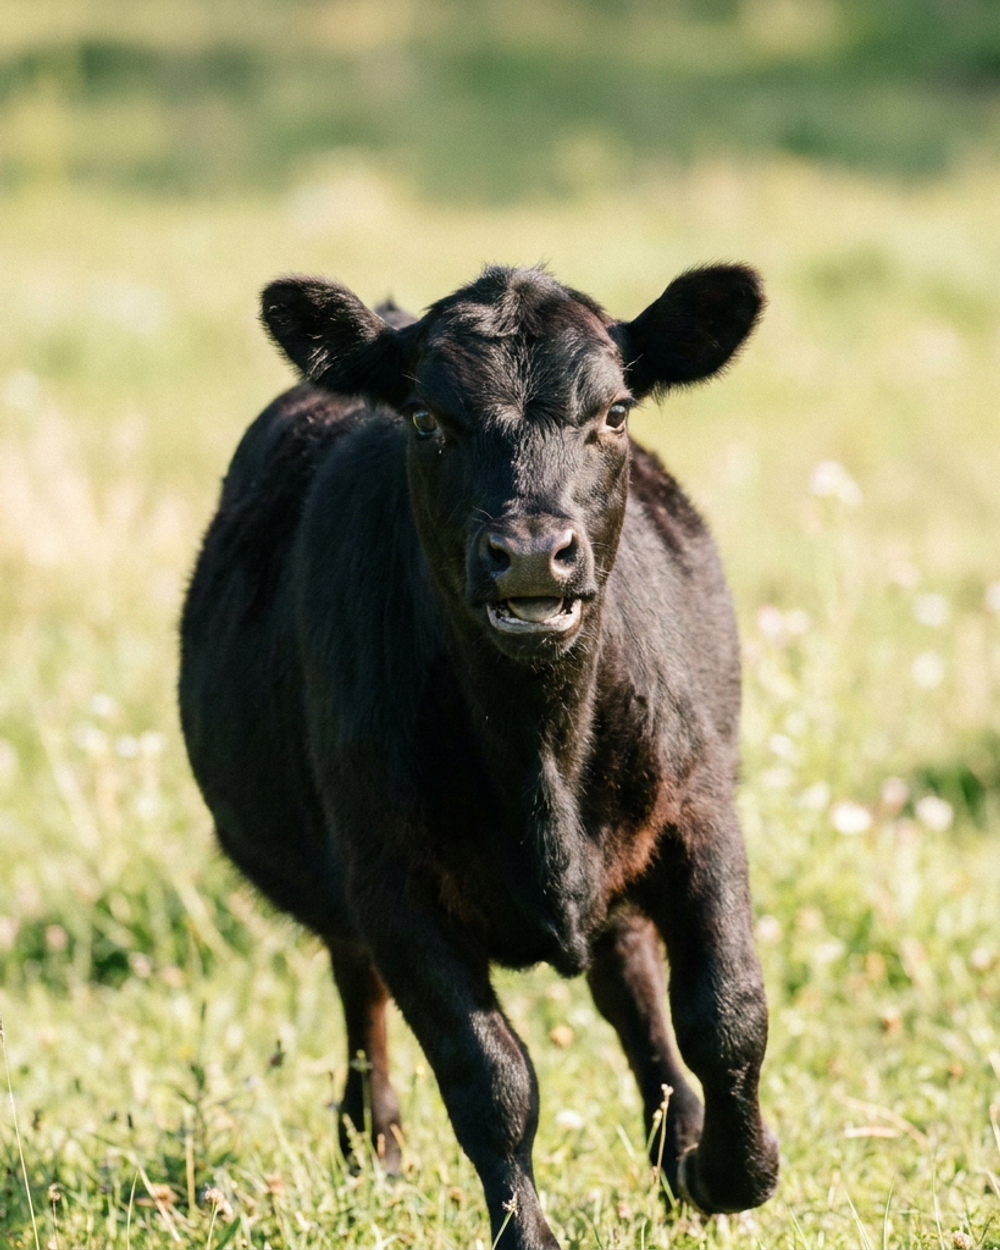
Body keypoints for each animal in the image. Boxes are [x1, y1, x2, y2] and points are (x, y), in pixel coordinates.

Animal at [178, 262, 779, 1249]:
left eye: (615, 411)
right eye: (427, 420)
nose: (532, 555)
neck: (540, 755)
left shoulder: (700, 812)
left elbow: (726, 1011)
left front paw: (728, 1172)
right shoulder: (391, 882)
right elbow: (490, 1078)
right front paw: (528, 1234)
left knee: (634, 992)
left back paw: (678, 1149)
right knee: (361, 993)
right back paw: (373, 1147)